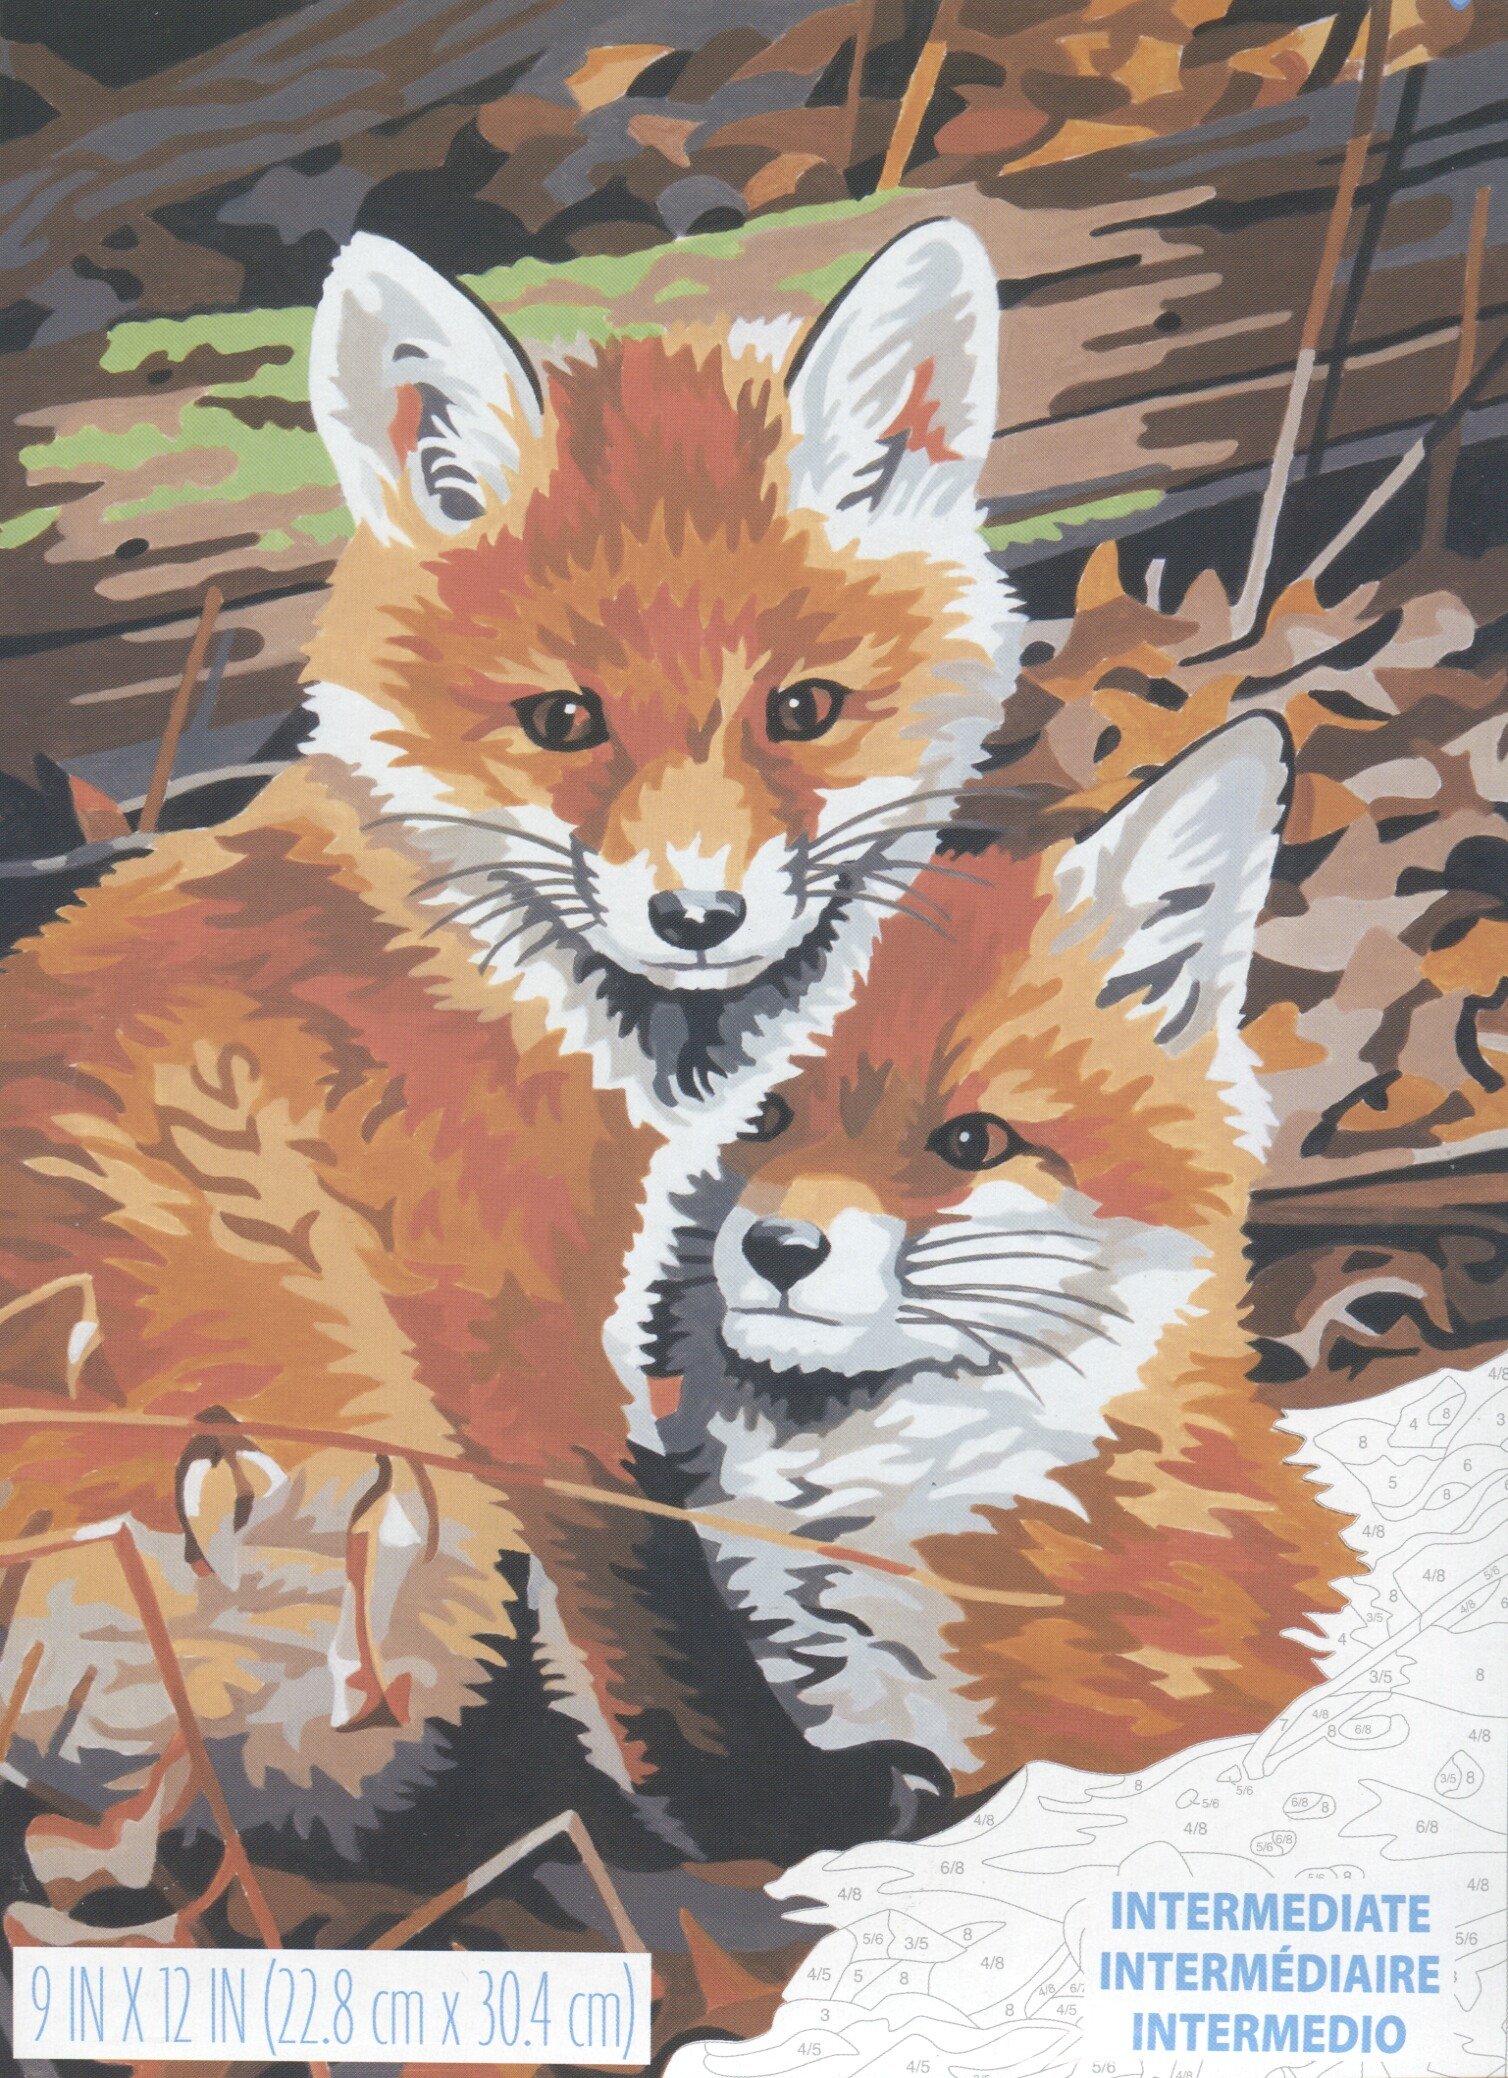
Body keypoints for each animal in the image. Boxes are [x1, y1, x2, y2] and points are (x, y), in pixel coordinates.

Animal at [0, 217, 1019, 1934]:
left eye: (800, 709)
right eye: (563, 719)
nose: (698, 917)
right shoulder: (513, 1360)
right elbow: (664, 1622)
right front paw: (785, 1811)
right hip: (387, 1514)